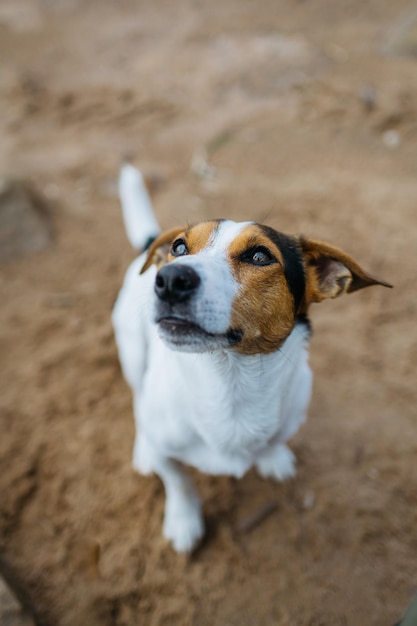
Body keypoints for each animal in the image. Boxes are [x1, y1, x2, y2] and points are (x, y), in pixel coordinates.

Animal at [111, 165, 390, 552]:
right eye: (179, 247)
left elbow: (274, 440)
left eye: (259, 256)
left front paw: (273, 456)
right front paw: (183, 519)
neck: (228, 378)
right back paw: (144, 450)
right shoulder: (170, 451)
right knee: (138, 395)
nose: (169, 278)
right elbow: (178, 480)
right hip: (133, 352)